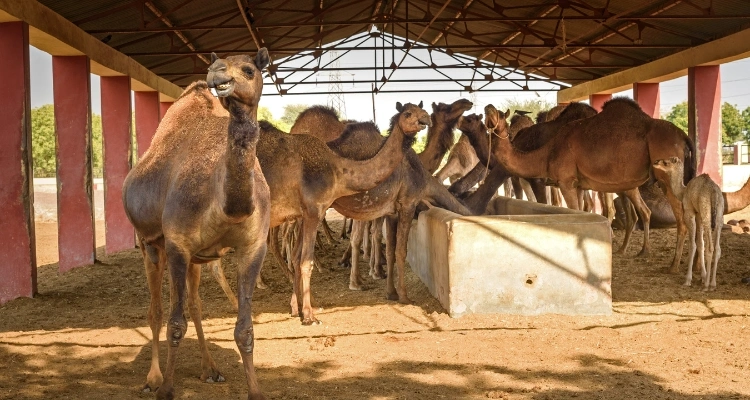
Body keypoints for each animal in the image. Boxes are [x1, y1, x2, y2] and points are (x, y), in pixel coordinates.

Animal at [123, 51, 271, 400]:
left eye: (249, 69)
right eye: (217, 65)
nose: (217, 73)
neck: (225, 206)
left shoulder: (253, 246)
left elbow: (244, 329)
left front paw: (255, 390)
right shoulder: (178, 243)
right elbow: (175, 323)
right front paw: (165, 389)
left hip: (196, 260)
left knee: (195, 304)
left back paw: (210, 369)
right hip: (150, 244)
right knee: (156, 310)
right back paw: (152, 378)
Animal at [485, 98, 696, 271]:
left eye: (501, 115)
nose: (488, 107)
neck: (547, 152)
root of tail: (683, 136)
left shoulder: (566, 182)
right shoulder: (578, 185)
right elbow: (581, 211)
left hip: (666, 174)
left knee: (679, 216)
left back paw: (673, 265)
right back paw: (645, 252)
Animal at [653, 157, 723, 290]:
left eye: (666, 162)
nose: (655, 163)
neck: (683, 192)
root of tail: (714, 193)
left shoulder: (690, 212)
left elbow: (692, 245)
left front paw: (688, 280)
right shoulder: (698, 214)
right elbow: (700, 243)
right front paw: (703, 277)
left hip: (706, 213)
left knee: (710, 247)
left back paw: (707, 286)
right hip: (719, 215)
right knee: (717, 248)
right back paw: (713, 284)